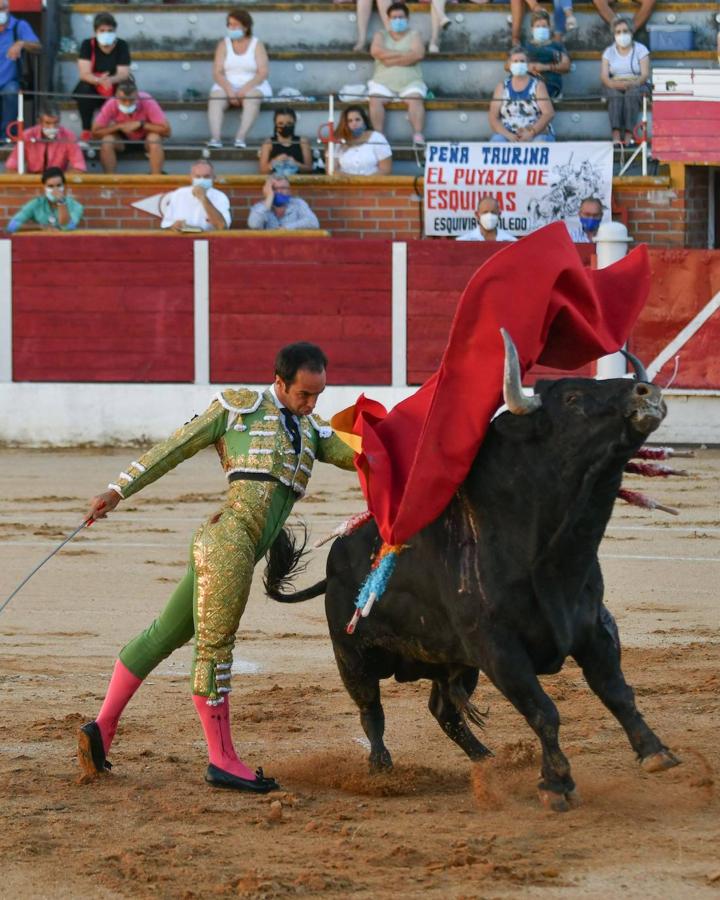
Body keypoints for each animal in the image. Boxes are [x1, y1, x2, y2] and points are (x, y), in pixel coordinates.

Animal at [266, 336, 680, 808]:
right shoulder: (497, 648)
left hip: (454, 663)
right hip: (351, 653)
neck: (550, 557)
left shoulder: (592, 627)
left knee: (443, 709)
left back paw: (488, 760)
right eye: (573, 398)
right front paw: (556, 783)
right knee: (371, 709)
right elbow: (544, 711)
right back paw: (381, 768)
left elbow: (617, 692)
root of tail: (335, 558)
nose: (646, 393)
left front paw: (655, 751)